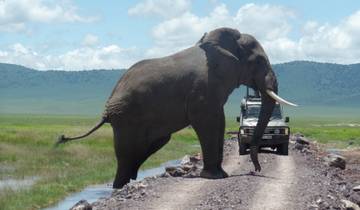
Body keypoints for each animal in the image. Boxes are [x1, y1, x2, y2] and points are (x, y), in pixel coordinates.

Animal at [57, 26, 296, 189]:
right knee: (126, 154)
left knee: (146, 148)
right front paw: (216, 177)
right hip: (127, 119)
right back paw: (119, 188)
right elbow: (209, 122)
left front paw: (220, 175)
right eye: (258, 62)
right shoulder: (204, 89)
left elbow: (218, 122)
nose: (256, 169)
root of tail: (106, 109)